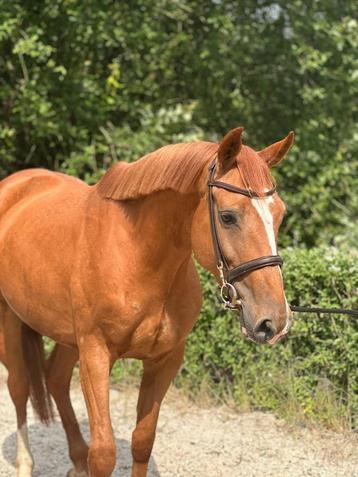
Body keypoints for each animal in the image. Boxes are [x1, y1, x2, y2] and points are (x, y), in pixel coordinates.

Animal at [0, 127, 294, 476]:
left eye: (280, 215)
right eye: (227, 216)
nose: (273, 320)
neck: (136, 257)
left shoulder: (164, 360)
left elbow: (142, 442)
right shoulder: (96, 354)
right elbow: (104, 454)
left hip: (67, 336)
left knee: (55, 380)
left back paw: (77, 459)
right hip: (10, 319)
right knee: (19, 386)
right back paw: (25, 462)